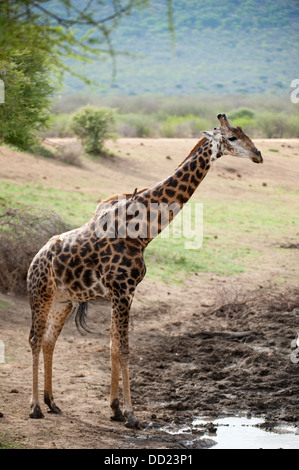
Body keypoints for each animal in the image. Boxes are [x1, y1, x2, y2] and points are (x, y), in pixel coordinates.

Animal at [27, 113, 264, 426]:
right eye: (233, 137)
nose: (258, 154)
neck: (142, 232)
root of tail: (34, 261)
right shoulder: (122, 290)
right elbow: (124, 348)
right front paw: (131, 414)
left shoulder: (122, 294)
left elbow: (114, 345)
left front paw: (115, 409)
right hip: (40, 296)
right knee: (34, 338)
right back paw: (35, 407)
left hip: (63, 301)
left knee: (49, 340)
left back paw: (52, 402)